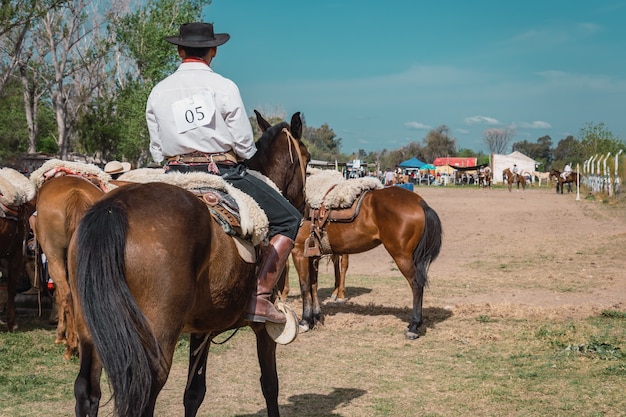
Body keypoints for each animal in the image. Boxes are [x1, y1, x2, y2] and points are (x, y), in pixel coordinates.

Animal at [67, 111, 308, 416]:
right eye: (307, 158)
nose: (305, 206)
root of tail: (114, 209)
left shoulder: (202, 327)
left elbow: (194, 393)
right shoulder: (263, 328)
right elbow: (270, 384)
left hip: (93, 333)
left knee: (87, 391)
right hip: (155, 340)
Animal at [292, 187, 442, 340]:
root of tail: (419, 202)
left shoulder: (299, 253)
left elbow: (304, 287)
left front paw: (304, 321)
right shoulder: (312, 256)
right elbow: (313, 285)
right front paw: (315, 318)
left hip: (402, 256)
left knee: (416, 285)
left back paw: (413, 326)